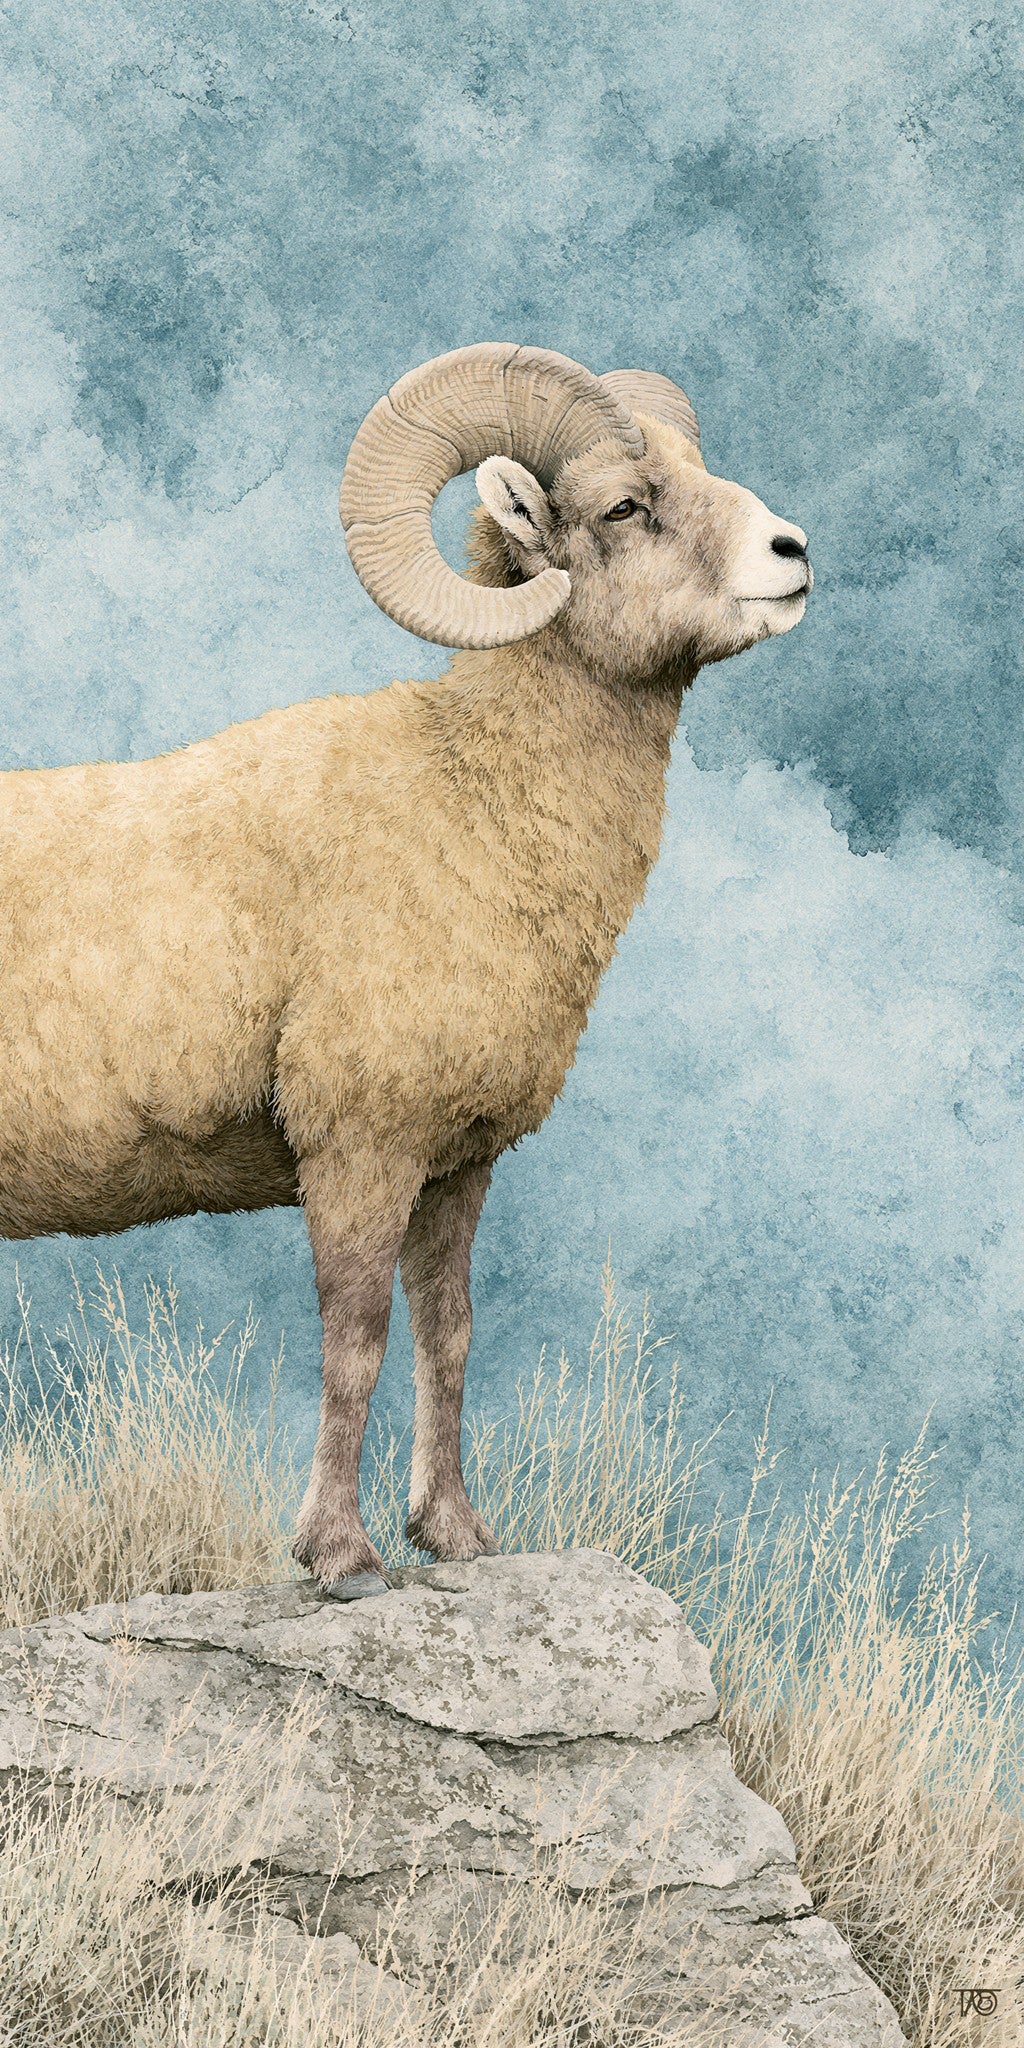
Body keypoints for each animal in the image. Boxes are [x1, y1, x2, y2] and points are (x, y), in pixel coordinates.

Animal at [0, 343, 812, 1598]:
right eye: (624, 507)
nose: (792, 554)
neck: (470, 803)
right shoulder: (358, 1151)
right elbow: (356, 1344)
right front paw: (341, 1557)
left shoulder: (454, 1167)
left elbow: (447, 1335)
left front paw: (459, 1536)